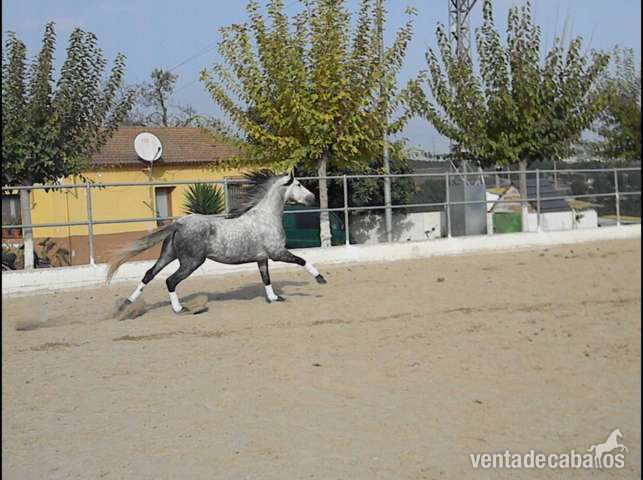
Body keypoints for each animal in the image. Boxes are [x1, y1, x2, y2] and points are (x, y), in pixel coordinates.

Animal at [106, 170, 327, 314]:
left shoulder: (262, 259)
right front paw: (321, 279)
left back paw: (125, 305)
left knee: (149, 274)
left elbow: (266, 279)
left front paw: (274, 298)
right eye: (298, 184)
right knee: (170, 281)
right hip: (191, 261)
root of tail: (179, 223)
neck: (265, 217)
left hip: (168, 255)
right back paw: (180, 309)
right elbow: (301, 260)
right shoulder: (277, 253)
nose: (313, 198)